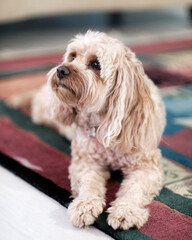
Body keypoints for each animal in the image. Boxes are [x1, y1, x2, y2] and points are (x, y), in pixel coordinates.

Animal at [10, 31, 166, 230]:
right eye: (73, 56)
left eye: (96, 64)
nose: (60, 70)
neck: (101, 121)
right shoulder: (86, 162)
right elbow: (88, 184)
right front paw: (85, 205)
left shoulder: (146, 167)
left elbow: (134, 189)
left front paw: (126, 210)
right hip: (44, 110)